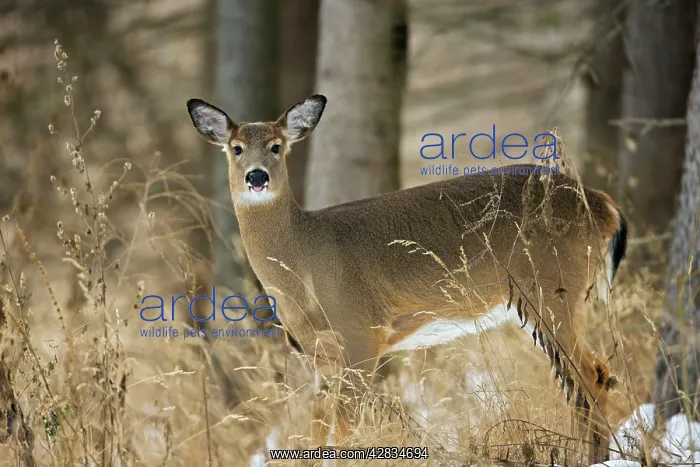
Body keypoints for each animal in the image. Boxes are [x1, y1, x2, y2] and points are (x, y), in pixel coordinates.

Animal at [186, 94, 628, 463]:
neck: (305, 264)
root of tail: (604, 205)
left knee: (591, 376)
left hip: (552, 289)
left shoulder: (361, 335)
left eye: (277, 146)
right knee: (590, 379)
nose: (256, 176)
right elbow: (317, 430)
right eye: (236, 148)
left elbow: (346, 432)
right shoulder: (319, 355)